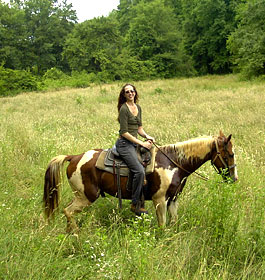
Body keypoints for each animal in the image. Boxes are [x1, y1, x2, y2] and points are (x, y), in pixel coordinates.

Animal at [42, 131, 237, 232]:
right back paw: (75, 235)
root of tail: (74, 157)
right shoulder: (160, 200)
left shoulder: (173, 200)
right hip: (85, 196)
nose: (234, 178)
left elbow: (173, 222)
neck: (173, 163)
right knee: (67, 211)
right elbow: (162, 225)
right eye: (230, 154)